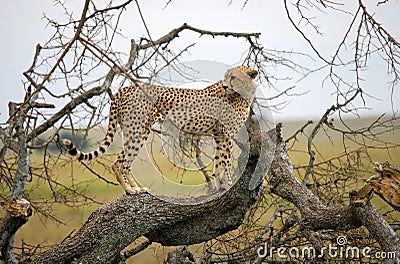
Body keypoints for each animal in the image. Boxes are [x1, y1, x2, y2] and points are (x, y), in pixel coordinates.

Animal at [61, 66, 258, 194]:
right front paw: (227, 185)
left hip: (131, 131)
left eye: (233, 77)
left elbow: (219, 162)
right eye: (227, 77)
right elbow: (224, 162)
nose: (224, 85)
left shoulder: (219, 135)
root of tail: (124, 88)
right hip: (139, 131)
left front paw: (220, 186)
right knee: (120, 163)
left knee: (123, 161)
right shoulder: (225, 135)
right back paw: (131, 191)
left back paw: (136, 188)